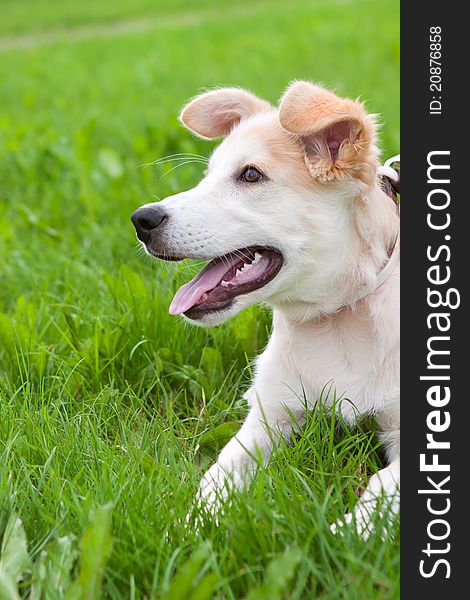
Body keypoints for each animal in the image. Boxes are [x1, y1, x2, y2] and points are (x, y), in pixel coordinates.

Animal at [130, 81, 398, 536]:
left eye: (251, 175)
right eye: (207, 175)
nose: (141, 220)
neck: (339, 316)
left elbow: (382, 486)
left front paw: (344, 536)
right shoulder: (267, 417)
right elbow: (217, 476)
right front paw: (185, 531)